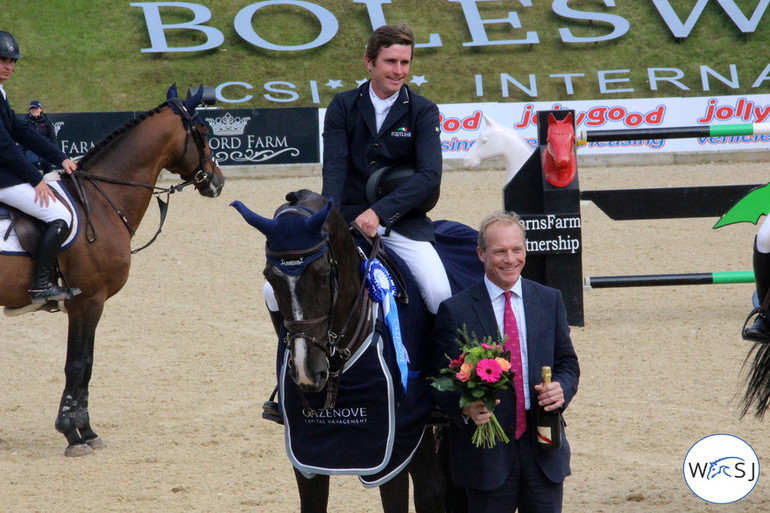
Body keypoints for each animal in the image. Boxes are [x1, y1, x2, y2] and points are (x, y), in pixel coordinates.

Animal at [0, 84, 226, 456]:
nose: (218, 183)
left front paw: (88, 431)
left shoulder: (93, 303)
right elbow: (77, 365)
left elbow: (88, 365)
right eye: (203, 133)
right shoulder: (87, 301)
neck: (101, 201)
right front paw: (72, 435)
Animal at [234, 191, 450, 512]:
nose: (307, 373)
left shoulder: (393, 449)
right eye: (270, 277)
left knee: (430, 492)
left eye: (323, 274)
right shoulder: (306, 454)